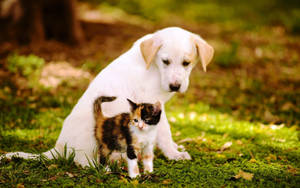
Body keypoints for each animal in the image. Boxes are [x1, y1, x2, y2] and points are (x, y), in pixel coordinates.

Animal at [2, 26, 213, 166]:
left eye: (186, 63)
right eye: (165, 61)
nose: (175, 86)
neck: (153, 66)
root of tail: (58, 147)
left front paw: (174, 149)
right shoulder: (151, 105)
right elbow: (164, 131)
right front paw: (173, 154)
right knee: (82, 161)